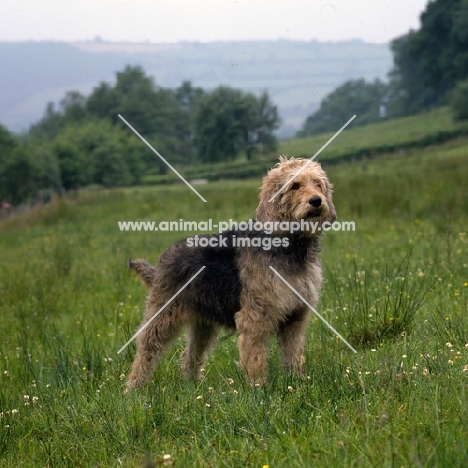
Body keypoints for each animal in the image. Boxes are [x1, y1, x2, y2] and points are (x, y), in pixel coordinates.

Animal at [126, 155, 334, 390]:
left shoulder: (296, 317)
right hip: (162, 316)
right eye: (295, 185)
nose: (316, 201)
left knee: (190, 355)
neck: (291, 246)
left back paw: (192, 386)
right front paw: (259, 388)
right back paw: (133, 388)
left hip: (203, 324)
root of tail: (164, 259)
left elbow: (294, 354)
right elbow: (256, 357)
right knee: (145, 351)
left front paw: (296, 382)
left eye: (318, 183)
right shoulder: (254, 318)